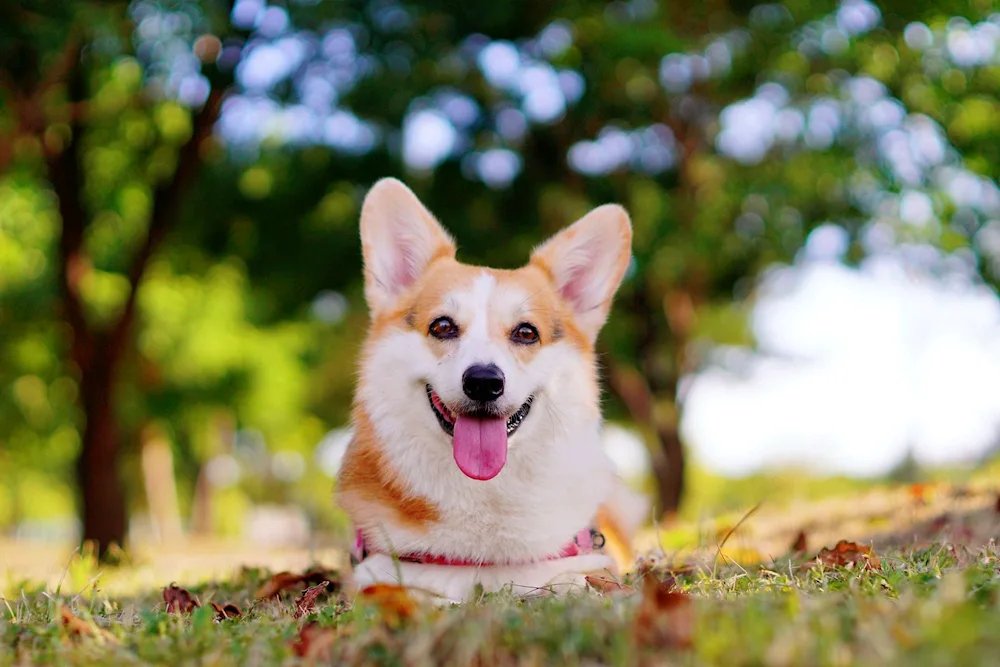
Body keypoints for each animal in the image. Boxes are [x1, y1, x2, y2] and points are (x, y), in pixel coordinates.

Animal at [336, 179, 648, 604]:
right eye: (442, 326)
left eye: (526, 333)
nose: (484, 382)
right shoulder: (377, 571)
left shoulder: (585, 562)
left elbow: (571, 582)